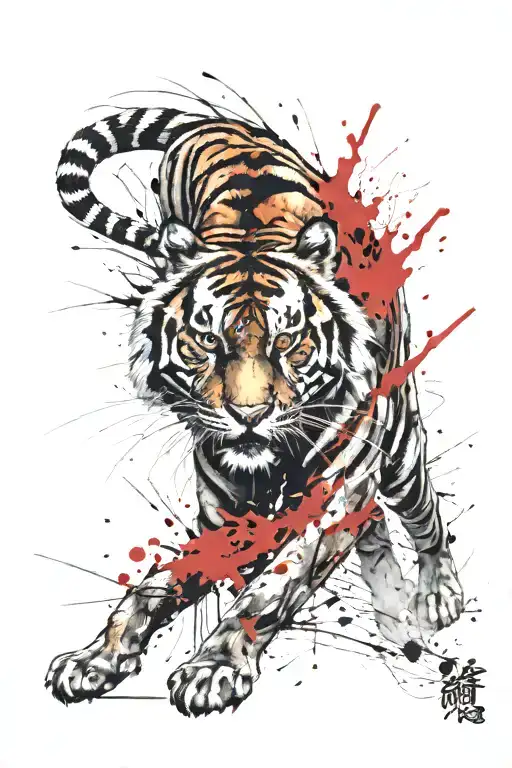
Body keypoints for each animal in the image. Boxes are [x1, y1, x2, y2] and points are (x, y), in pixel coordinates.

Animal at [46, 101, 463, 717]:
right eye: (206, 341)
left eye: (286, 341)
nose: (249, 415)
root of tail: (211, 123)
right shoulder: (225, 522)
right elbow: (152, 586)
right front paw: (94, 658)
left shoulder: (324, 504)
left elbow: (263, 593)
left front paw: (212, 668)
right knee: (373, 522)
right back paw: (391, 606)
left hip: (400, 449)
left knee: (423, 511)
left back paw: (436, 596)